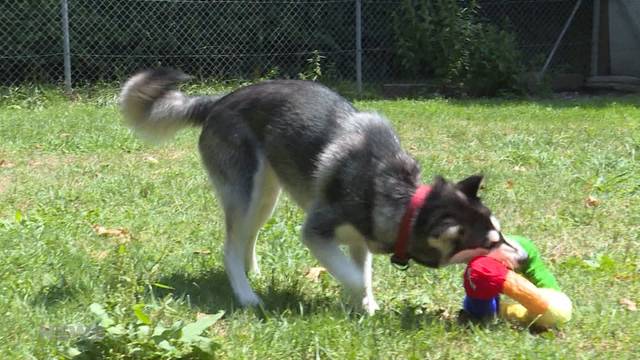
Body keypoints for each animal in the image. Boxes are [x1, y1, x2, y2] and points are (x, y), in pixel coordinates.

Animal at [119, 69, 500, 314]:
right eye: (491, 243)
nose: (516, 257)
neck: (398, 195)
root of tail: (220, 100)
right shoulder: (315, 231)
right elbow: (355, 278)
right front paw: (361, 301)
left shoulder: (360, 241)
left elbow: (363, 274)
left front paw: (365, 306)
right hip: (246, 194)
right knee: (229, 247)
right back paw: (246, 295)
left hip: (266, 198)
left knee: (247, 238)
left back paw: (253, 273)